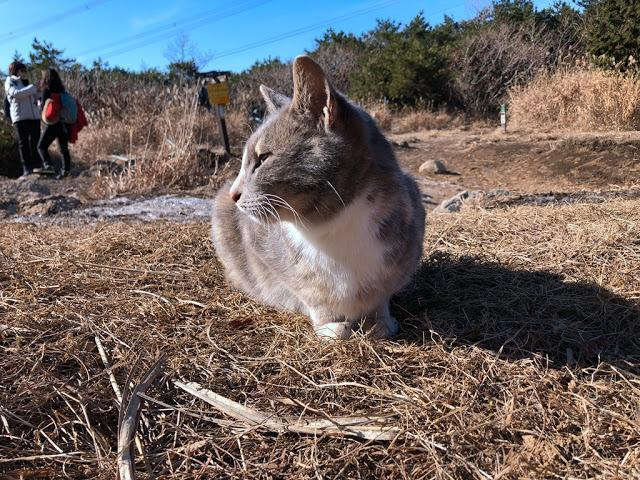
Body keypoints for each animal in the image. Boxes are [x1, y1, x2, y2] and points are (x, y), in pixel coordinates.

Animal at [212, 56, 428, 340]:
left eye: (262, 159)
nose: (233, 194)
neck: (333, 227)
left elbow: (381, 295)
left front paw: (380, 321)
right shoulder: (261, 247)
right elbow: (309, 294)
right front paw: (330, 327)